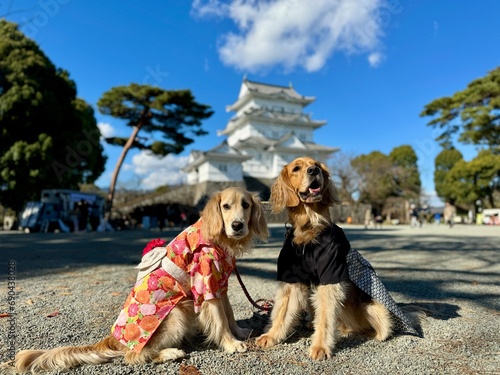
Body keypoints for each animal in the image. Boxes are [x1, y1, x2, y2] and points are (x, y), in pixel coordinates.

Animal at [13, 188, 268, 374]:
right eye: (226, 206)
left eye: (245, 205)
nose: (237, 225)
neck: (221, 241)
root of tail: (114, 339)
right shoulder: (205, 284)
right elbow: (219, 319)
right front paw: (231, 344)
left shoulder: (219, 284)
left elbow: (229, 314)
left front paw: (239, 332)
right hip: (177, 315)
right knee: (132, 356)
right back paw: (170, 353)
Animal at [254, 156, 422, 362]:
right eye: (296, 168)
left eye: (316, 165)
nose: (313, 171)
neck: (310, 228)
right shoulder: (291, 277)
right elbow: (282, 312)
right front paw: (271, 336)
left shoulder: (330, 276)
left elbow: (326, 317)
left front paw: (320, 346)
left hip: (375, 310)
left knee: (372, 328)